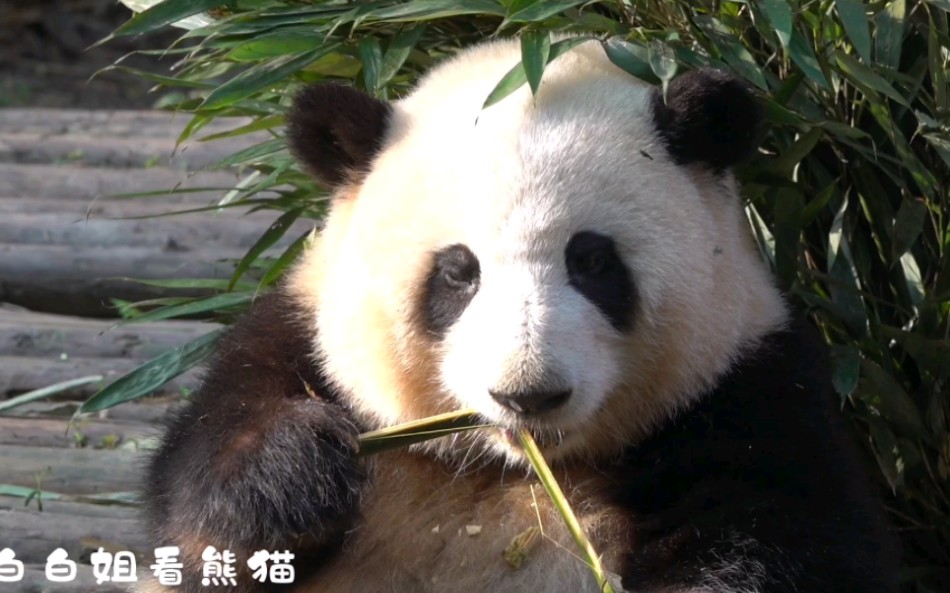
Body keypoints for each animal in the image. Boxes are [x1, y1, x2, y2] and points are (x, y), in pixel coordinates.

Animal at [139, 39, 900, 592]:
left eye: (591, 262)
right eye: (458, 271)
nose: (527, 394)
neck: (512, 470)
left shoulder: (746, 389)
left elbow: (777, 542)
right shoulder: (303, 342)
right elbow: (200, 498)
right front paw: (299, 470)